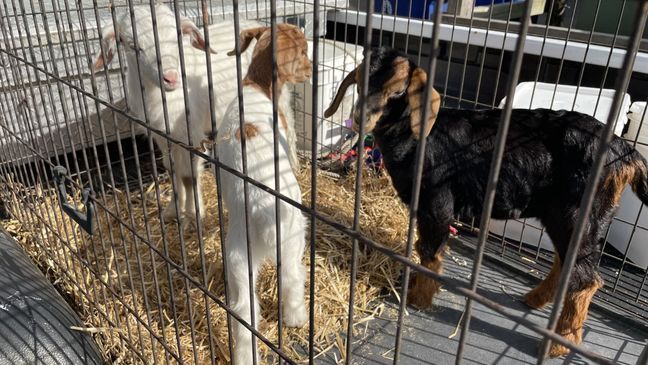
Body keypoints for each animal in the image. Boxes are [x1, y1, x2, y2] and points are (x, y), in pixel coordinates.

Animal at [92, 4, 298, 223]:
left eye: (177, 37)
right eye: (132, 45)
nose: (170, 77)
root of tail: (258, 26)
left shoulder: (191, 133)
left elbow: (189, 176)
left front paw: (194, 213)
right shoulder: (162, 136)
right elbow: (172, 170)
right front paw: (172, 211)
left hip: (278, 94)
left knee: (290, 128)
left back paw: (293, 165)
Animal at [216, 24, 312, 362]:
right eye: (304, 50)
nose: (312, 70)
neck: (255, 84)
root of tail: (262, 212)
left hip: (237, 260)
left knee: (245, 315)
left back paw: (245, 357)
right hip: (294, 238)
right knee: (293, 278)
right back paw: (296, 318)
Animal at [326, 47, 648, 356]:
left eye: (396, 91)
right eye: (360, 83)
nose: (360, 118)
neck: (414, 137)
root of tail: (625, 152)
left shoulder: (437, 202)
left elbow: (430, 251)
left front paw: (419, 297)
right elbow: (422, 247)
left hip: (580, 213)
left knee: (585, 279)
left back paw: (559, 344)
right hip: (563, 215)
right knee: (564, 262)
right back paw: (534, 300)